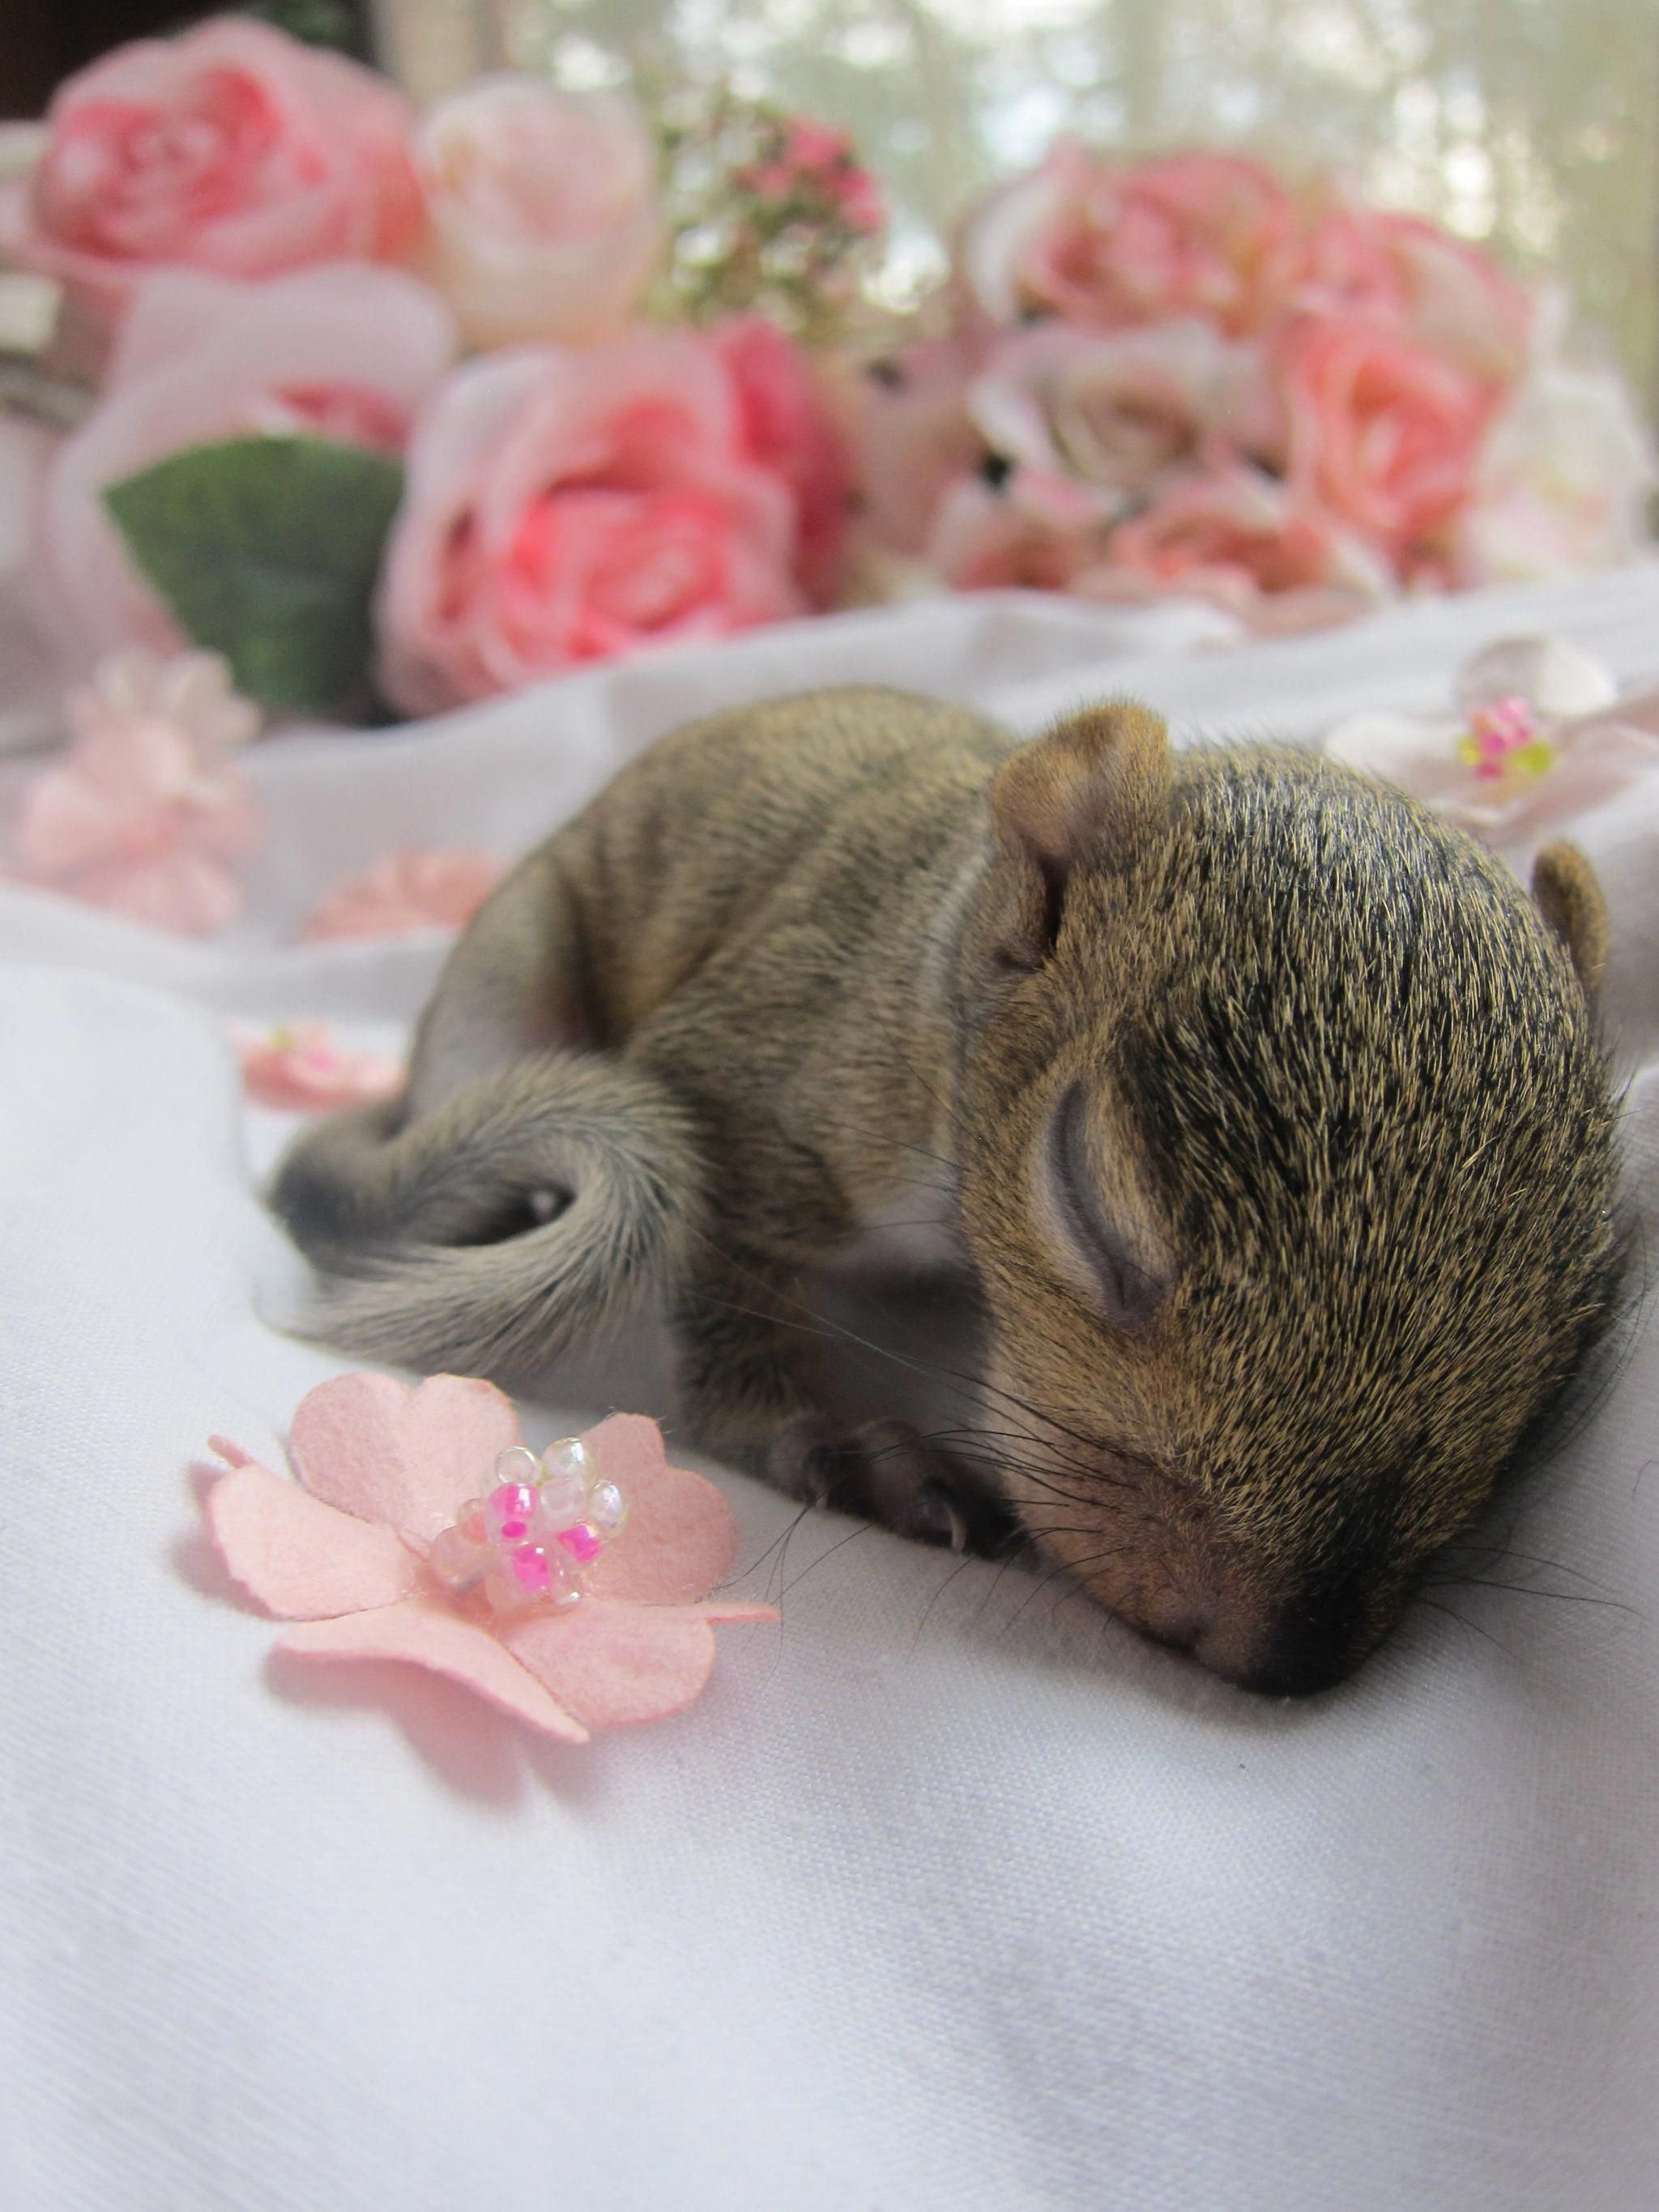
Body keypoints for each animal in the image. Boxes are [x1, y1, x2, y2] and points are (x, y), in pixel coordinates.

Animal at [271, 686, 1622, 1695]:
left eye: (1580, 1318)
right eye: (1089, 1201)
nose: (1279, 1653)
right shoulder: (757, 1073)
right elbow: (725, 1282)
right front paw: (829, 1437)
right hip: (503, 993)